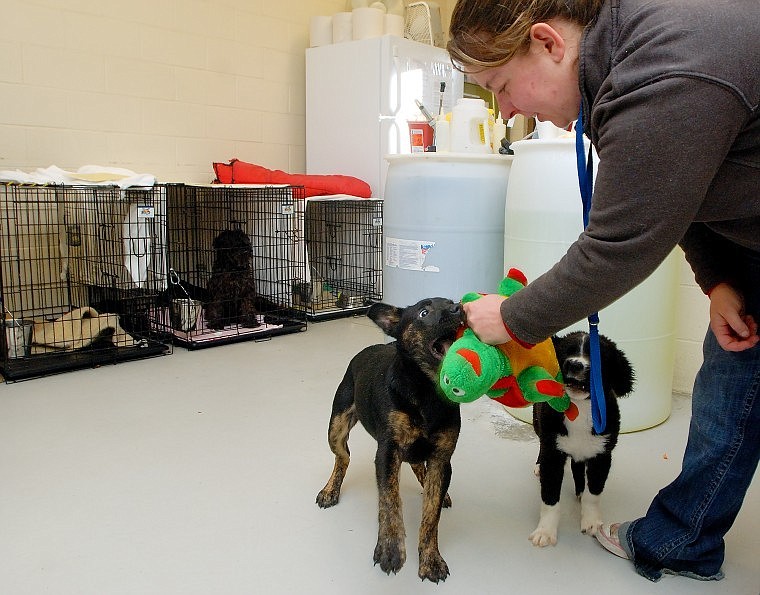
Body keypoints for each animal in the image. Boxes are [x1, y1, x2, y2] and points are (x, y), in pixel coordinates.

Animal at [316, 298, 460, 584]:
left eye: (451, 302)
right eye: (424, 313)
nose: (460, 309)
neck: (426, 392)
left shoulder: (441, 460)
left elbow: (431, 514)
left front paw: (430, 559)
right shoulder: (387, 454)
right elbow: (390, 501)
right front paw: (390, 549)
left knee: (417, 465)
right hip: (336, 427)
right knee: (343, 456)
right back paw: (330, 490)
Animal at [528, 330, 636, 548]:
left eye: (598, 357)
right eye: (566, 352)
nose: (575, 364)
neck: (579, 409)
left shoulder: (602, 454)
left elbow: (593, 493)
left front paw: (592, 521)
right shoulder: (553, 453)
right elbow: (550, 496)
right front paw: (545, 531)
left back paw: (579, 490)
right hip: (538, 423)